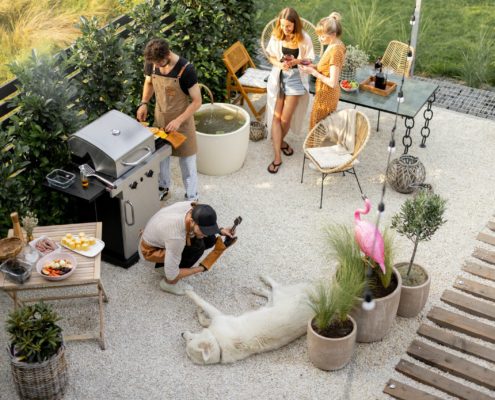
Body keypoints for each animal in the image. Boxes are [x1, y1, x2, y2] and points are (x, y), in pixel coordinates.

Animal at [182, 276, 314, 364]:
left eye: (190, 339)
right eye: (187, 353)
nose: (182, 334)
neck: (219, 345)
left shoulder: (218, 316)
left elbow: (200, 301)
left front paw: (189, 293)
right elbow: (204, 322)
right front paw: (200, 313)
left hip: (281, 296)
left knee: (276, 286)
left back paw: (264, 277)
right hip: (272, 302)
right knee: (270, 293)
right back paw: (258, 289)